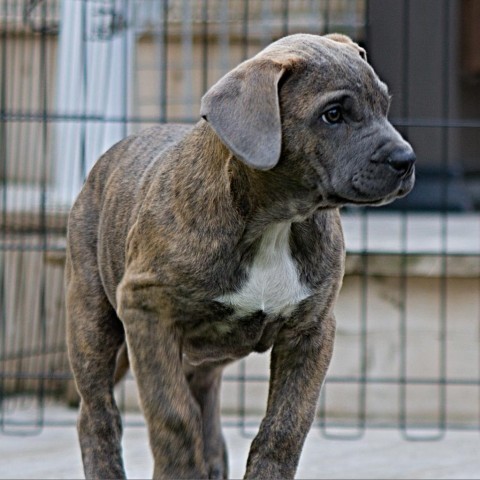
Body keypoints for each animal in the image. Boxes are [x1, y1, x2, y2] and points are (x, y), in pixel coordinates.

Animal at [65, 33, 414, 480]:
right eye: (333, 115)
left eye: (383, 105)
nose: (406, 160)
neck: (275, 222)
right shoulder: (146, 309)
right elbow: (172, 414)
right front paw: (179, 467)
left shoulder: (312, 331)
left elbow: (285, 426)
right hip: (92, 318)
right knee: (97, 414)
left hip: (198, 352)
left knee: (202, 396)